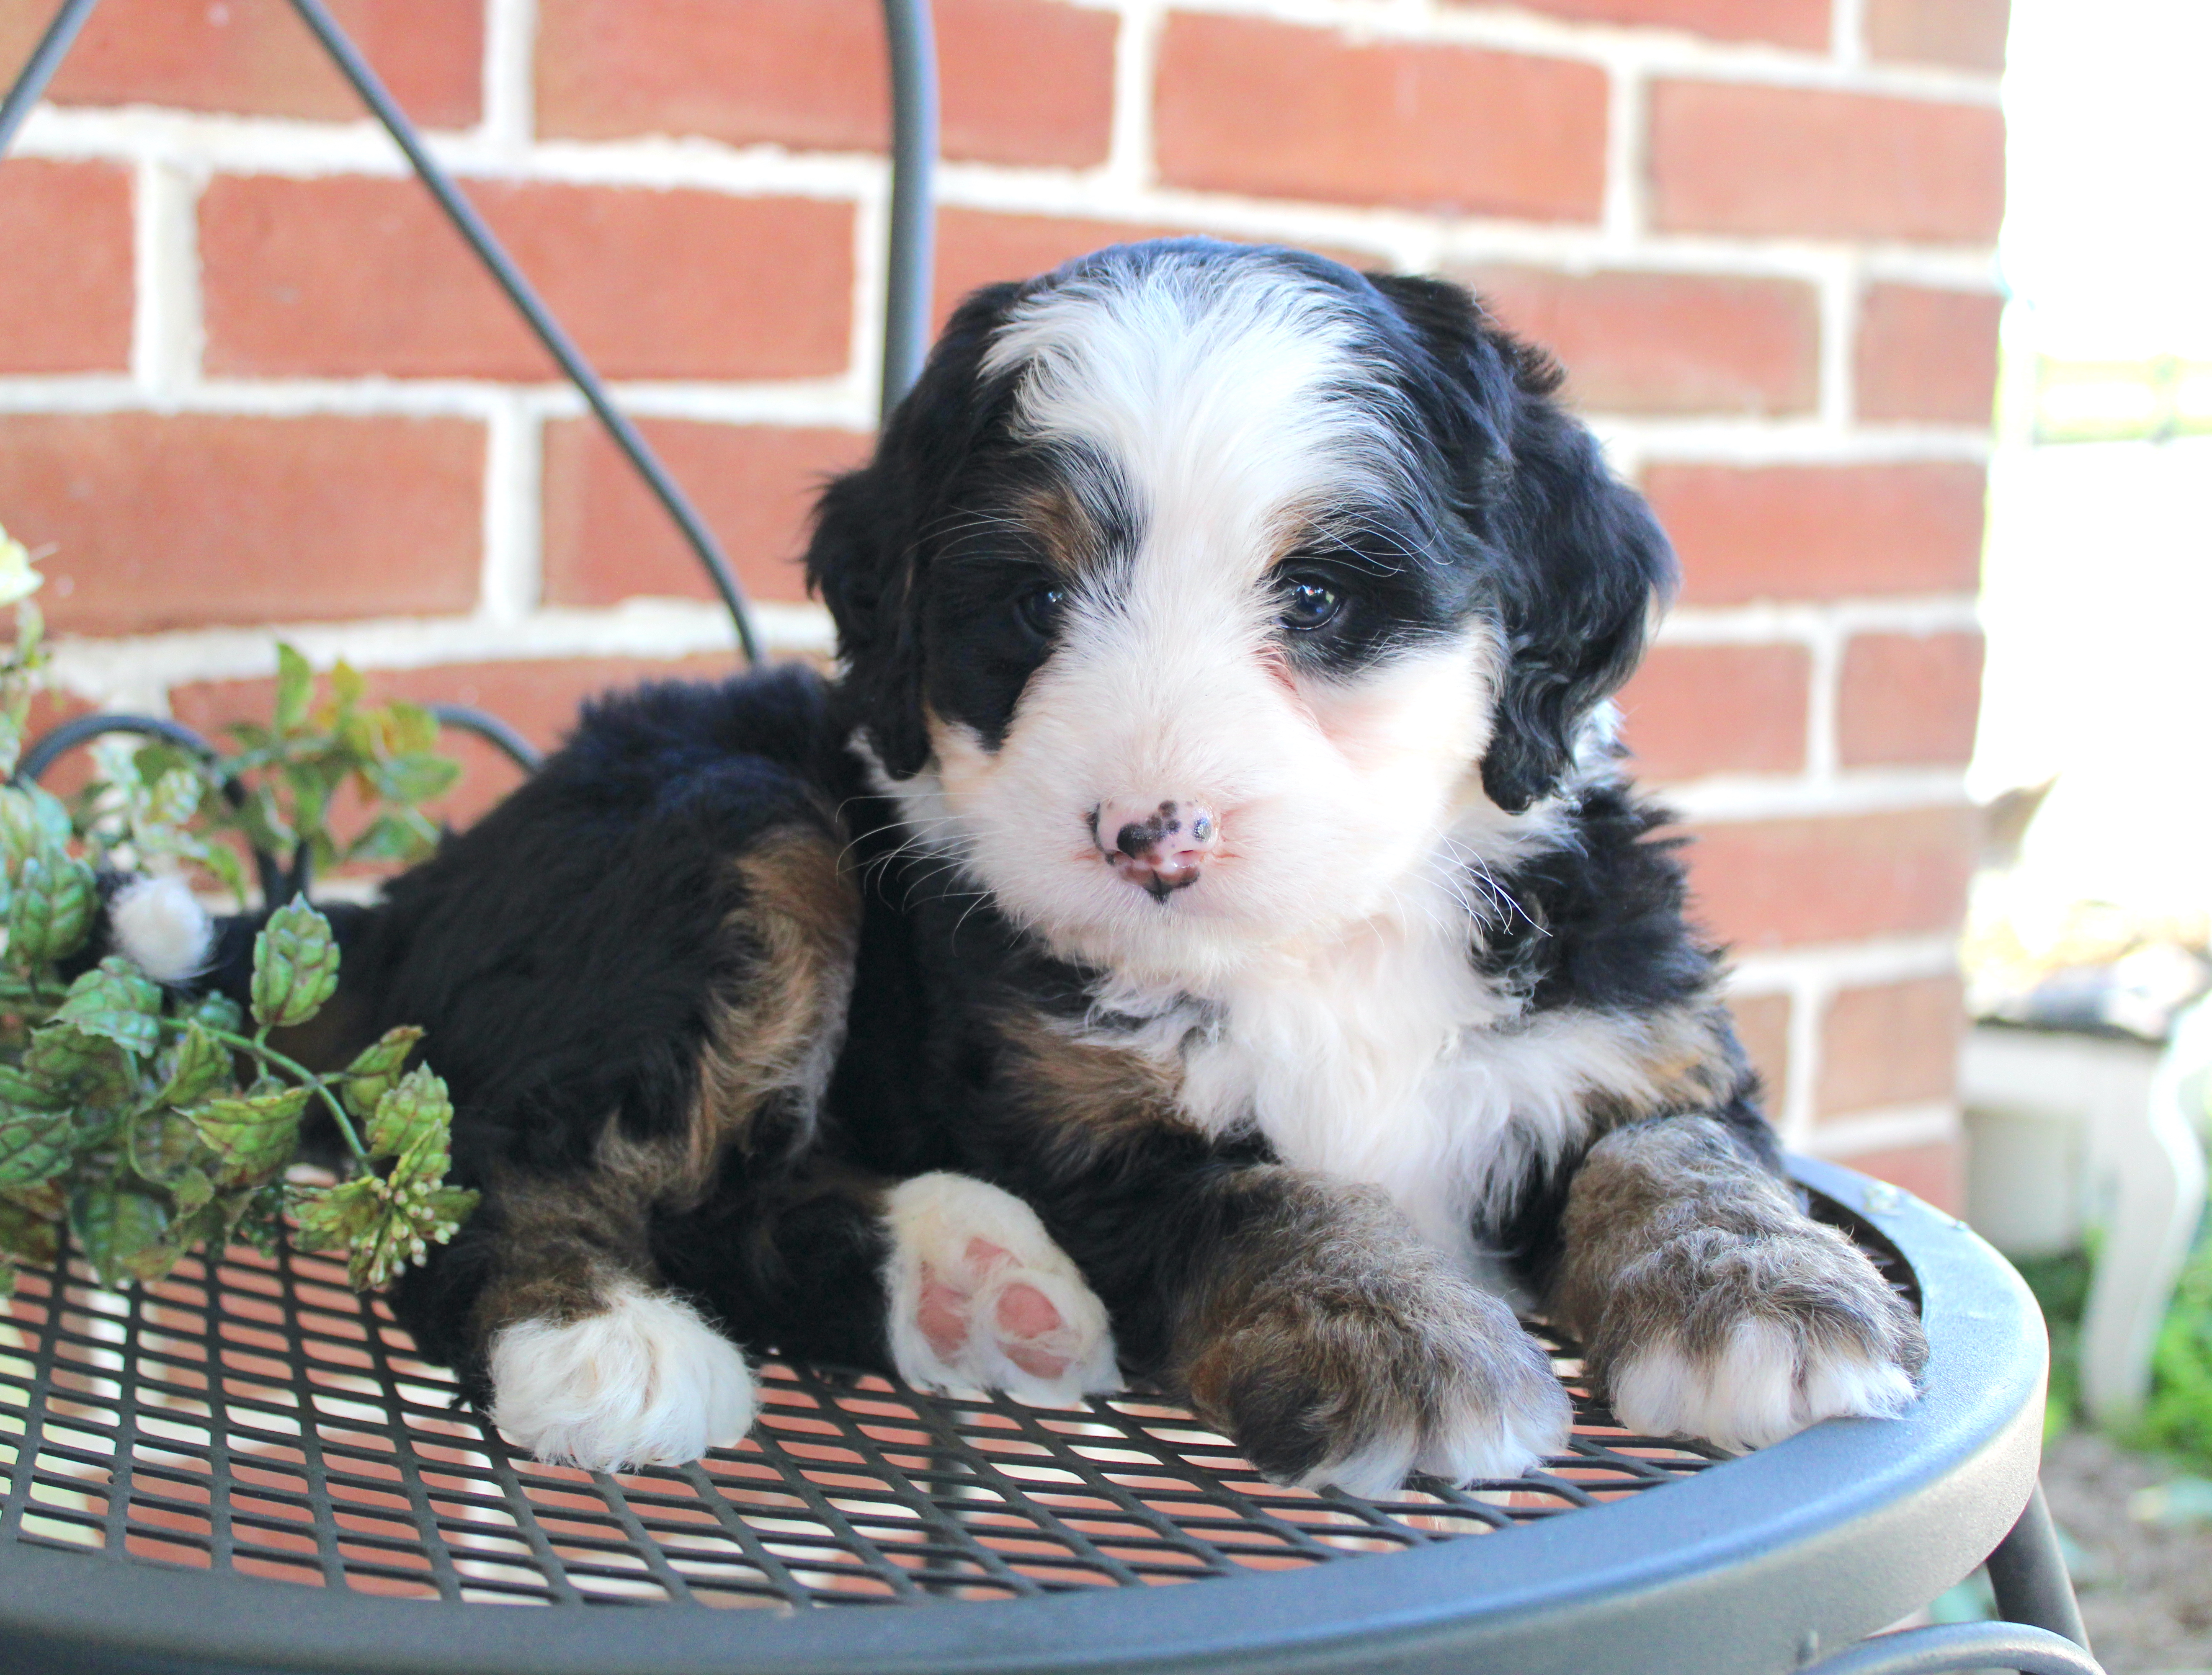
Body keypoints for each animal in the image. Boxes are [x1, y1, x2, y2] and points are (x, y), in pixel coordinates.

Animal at [156, 235, 1928, 1487]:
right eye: (1030, 603)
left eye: (1321, 599)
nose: (1152, 834)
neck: (1319, 946)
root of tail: (420, 894)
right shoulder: (1073, 1117)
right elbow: (1266, 1190)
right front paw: (1397, 1337)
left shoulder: (1635, 1025)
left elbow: (1674, 1150)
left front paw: (1766, 1303)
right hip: (736, 838)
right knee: (505, 1172)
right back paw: (603, 1346)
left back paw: (976, 1282)